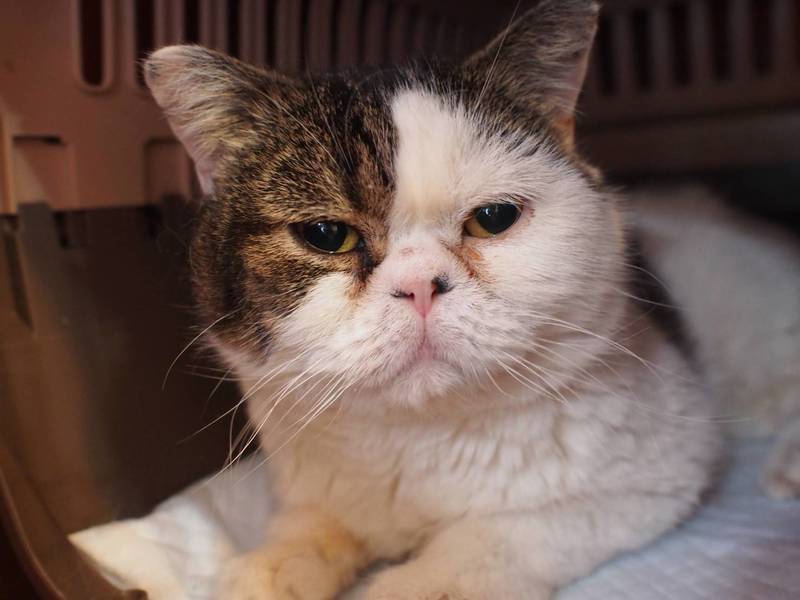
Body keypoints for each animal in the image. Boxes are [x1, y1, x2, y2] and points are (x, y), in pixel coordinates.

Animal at [144, 1, 799, 598]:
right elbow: (309, 529)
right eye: (327, 235)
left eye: (493, 218)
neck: (416, 447)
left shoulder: (656, 473)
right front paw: (269, 568)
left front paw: (414, 582)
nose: (419, 285)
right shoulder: (312, 486)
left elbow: (494, 536)